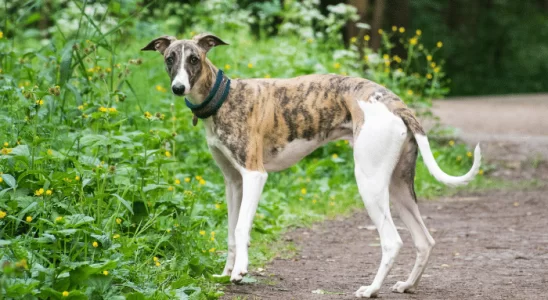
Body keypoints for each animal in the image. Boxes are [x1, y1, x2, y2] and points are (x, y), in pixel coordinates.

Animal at [141, 33, 480, 298]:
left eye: (194, 59)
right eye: (170, 58)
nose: (178, 88)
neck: (224, 97)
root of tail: (395, 103)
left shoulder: (254, 175)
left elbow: (240, 227)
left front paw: (240, 272)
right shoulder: (233, 182)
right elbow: (230, 231)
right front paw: (226, 273)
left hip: (369, 181)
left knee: (392, 240)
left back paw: (371, 289)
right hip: (398, 186)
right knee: (424, 240)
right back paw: (407, 285)